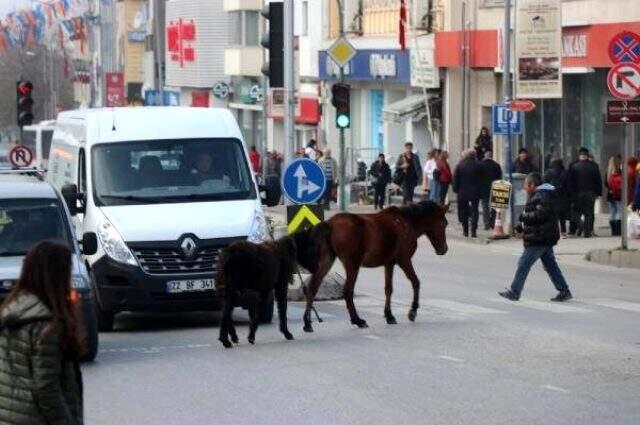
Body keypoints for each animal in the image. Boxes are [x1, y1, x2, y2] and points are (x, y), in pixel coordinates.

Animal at [302, 200, 448, 332]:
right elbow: (416, 282)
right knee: (348, 291)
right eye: (444, 223)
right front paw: (413, 311)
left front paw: (389, 315)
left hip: (327, 260)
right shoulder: (404, 260)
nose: (444, 249)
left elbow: (388, 289)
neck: (407, 222)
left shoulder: (389, 263)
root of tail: (330, 224)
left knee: (313, 287)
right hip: (352, 264)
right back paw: (357, 320)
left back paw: (307, 322)